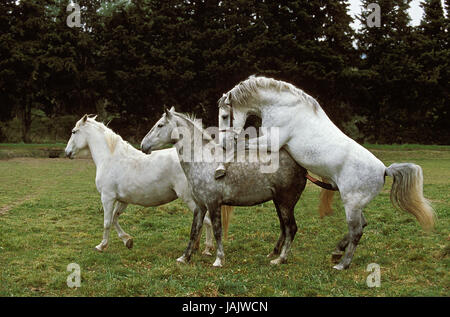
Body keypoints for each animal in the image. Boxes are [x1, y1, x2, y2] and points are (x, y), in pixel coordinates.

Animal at [64, 113, 232, 254]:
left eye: (74, 132)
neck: (111, 158)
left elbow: (106, 222)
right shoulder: (123, 200)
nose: (67, 153)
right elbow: (114, 219)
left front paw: (102, 245)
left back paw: (207, 248)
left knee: (207, 222)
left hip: (192, 199)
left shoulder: (107, 198)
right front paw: (127, 240)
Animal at [219, 74, 436, 270]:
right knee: (362, 225)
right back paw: (337, 251)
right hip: (355, 203)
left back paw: (342, 264)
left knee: (357, 231)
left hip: (351, 203)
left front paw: (221, 166)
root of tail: (384, 170)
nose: (221, 143)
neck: (283, 106)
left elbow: (240, 145)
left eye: (224, 116)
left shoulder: (270, 142)